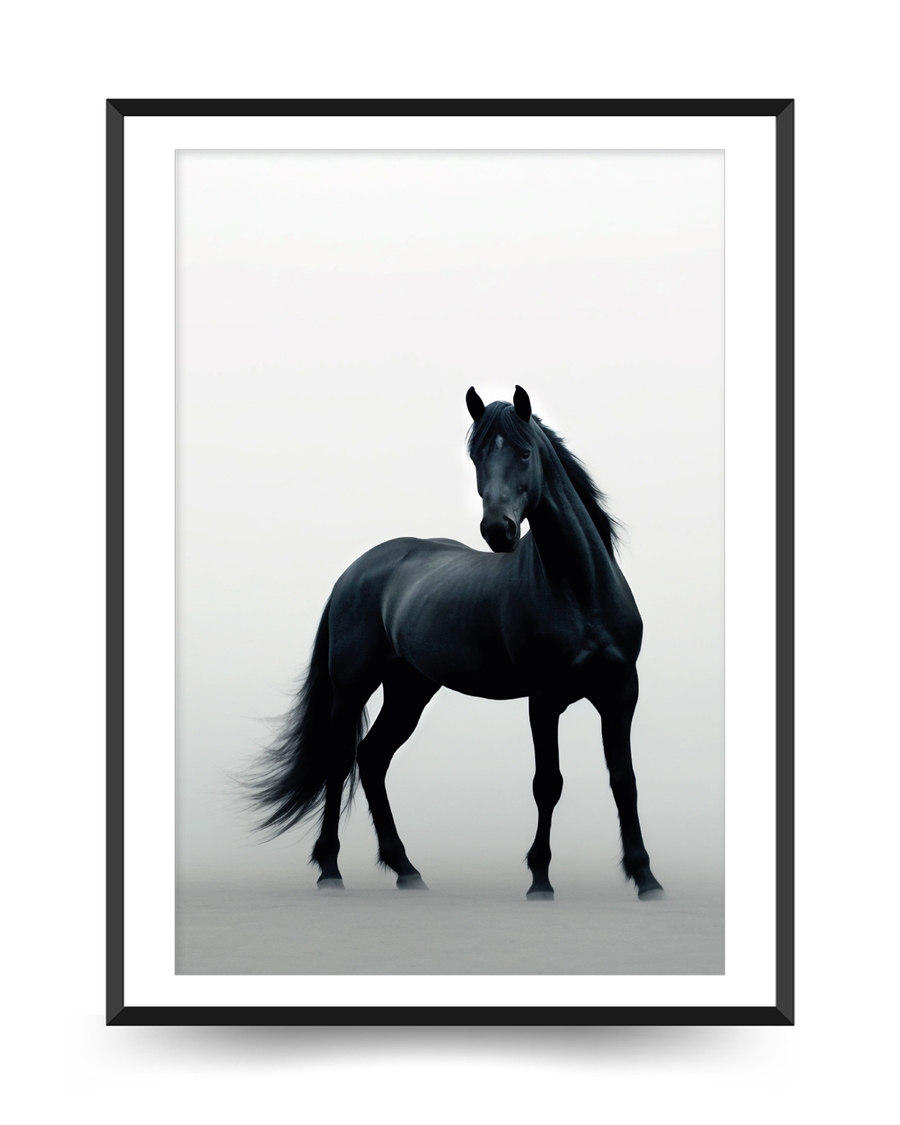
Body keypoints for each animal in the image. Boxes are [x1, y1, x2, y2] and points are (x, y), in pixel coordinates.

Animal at [249, 386, 662, 901]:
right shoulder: (544, 699)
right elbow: (547, 783)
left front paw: (646, 878)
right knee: (340, 760)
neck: (580, 590)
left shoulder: (621, 693)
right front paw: (540, 880)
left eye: (525, 453)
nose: (498, 530)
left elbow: (624, 780)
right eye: (476, 457)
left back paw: (406, 870)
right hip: (352, 688)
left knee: (372, 758)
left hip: (409, 690)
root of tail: (355, 571)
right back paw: (330, 871)